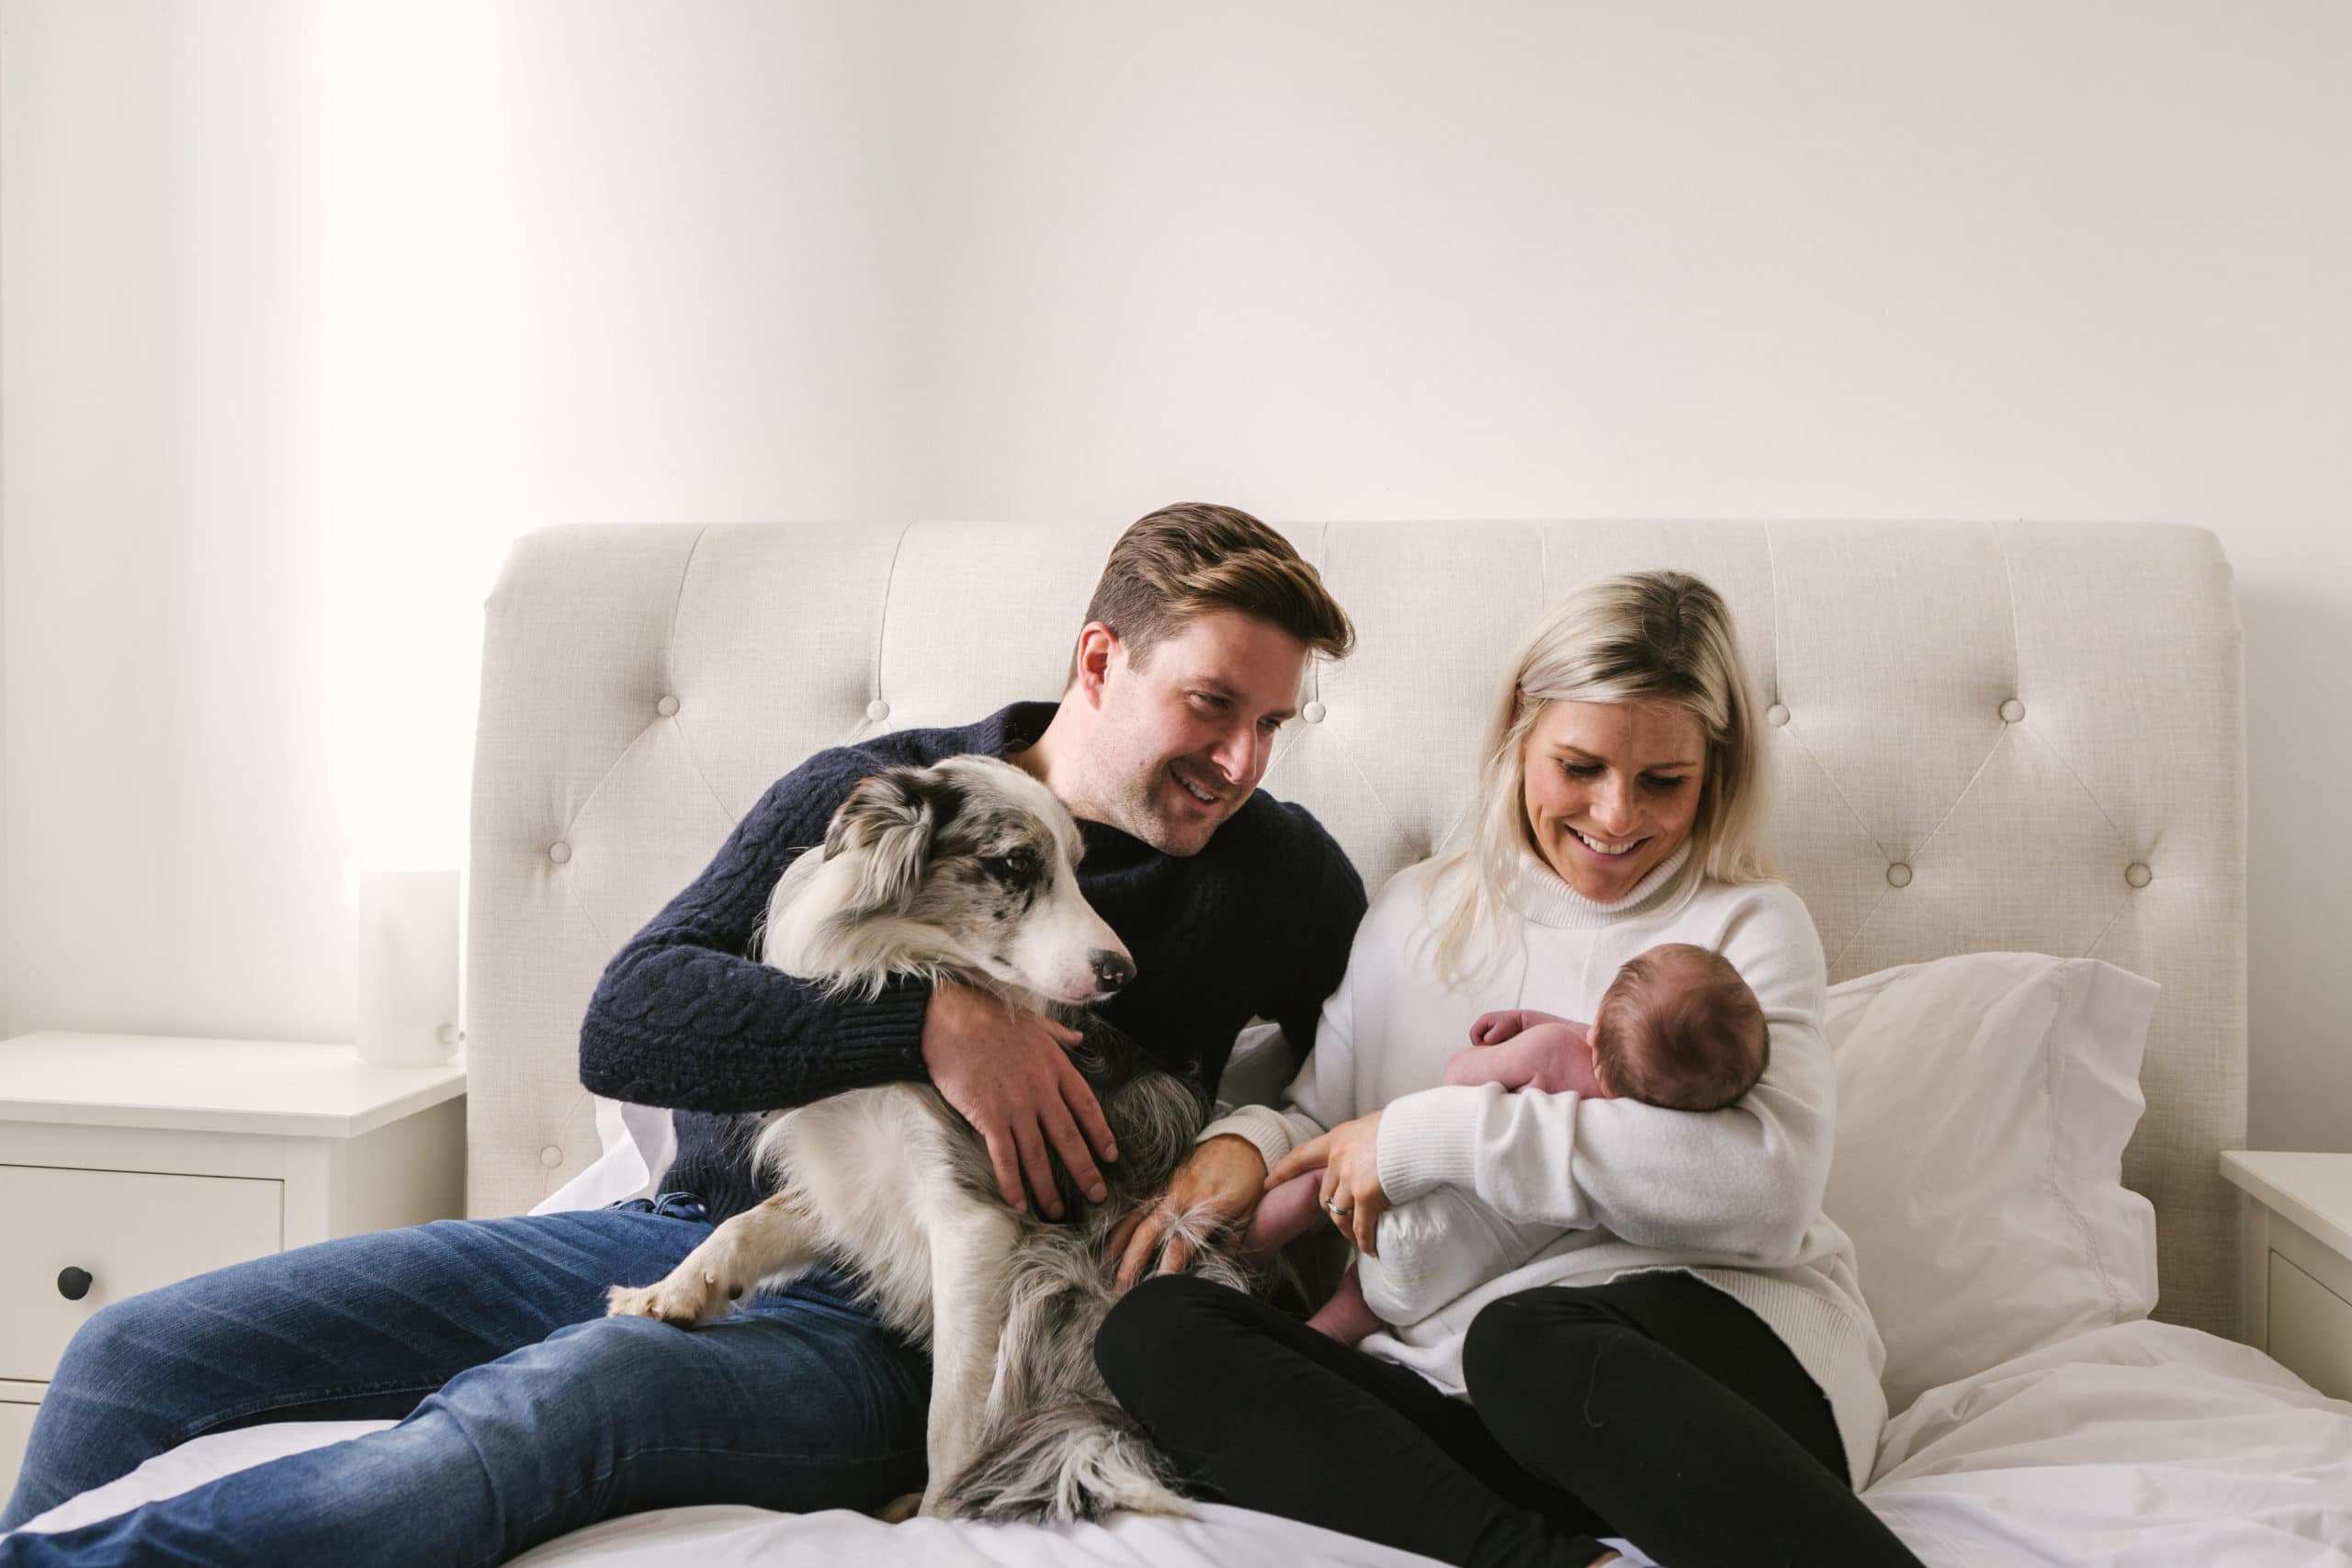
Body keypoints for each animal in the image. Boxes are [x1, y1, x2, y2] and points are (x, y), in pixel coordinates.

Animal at [602, 757, 1250, 1523]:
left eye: (1075, 866)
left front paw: (939, 1520)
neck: (905, 964)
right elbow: (744, 1224)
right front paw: (672, 1291)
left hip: (1054, 1284)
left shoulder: (972, 1220)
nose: (1121, 971)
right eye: (1017, 863)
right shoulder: (853, 1180)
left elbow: (955, 1418)